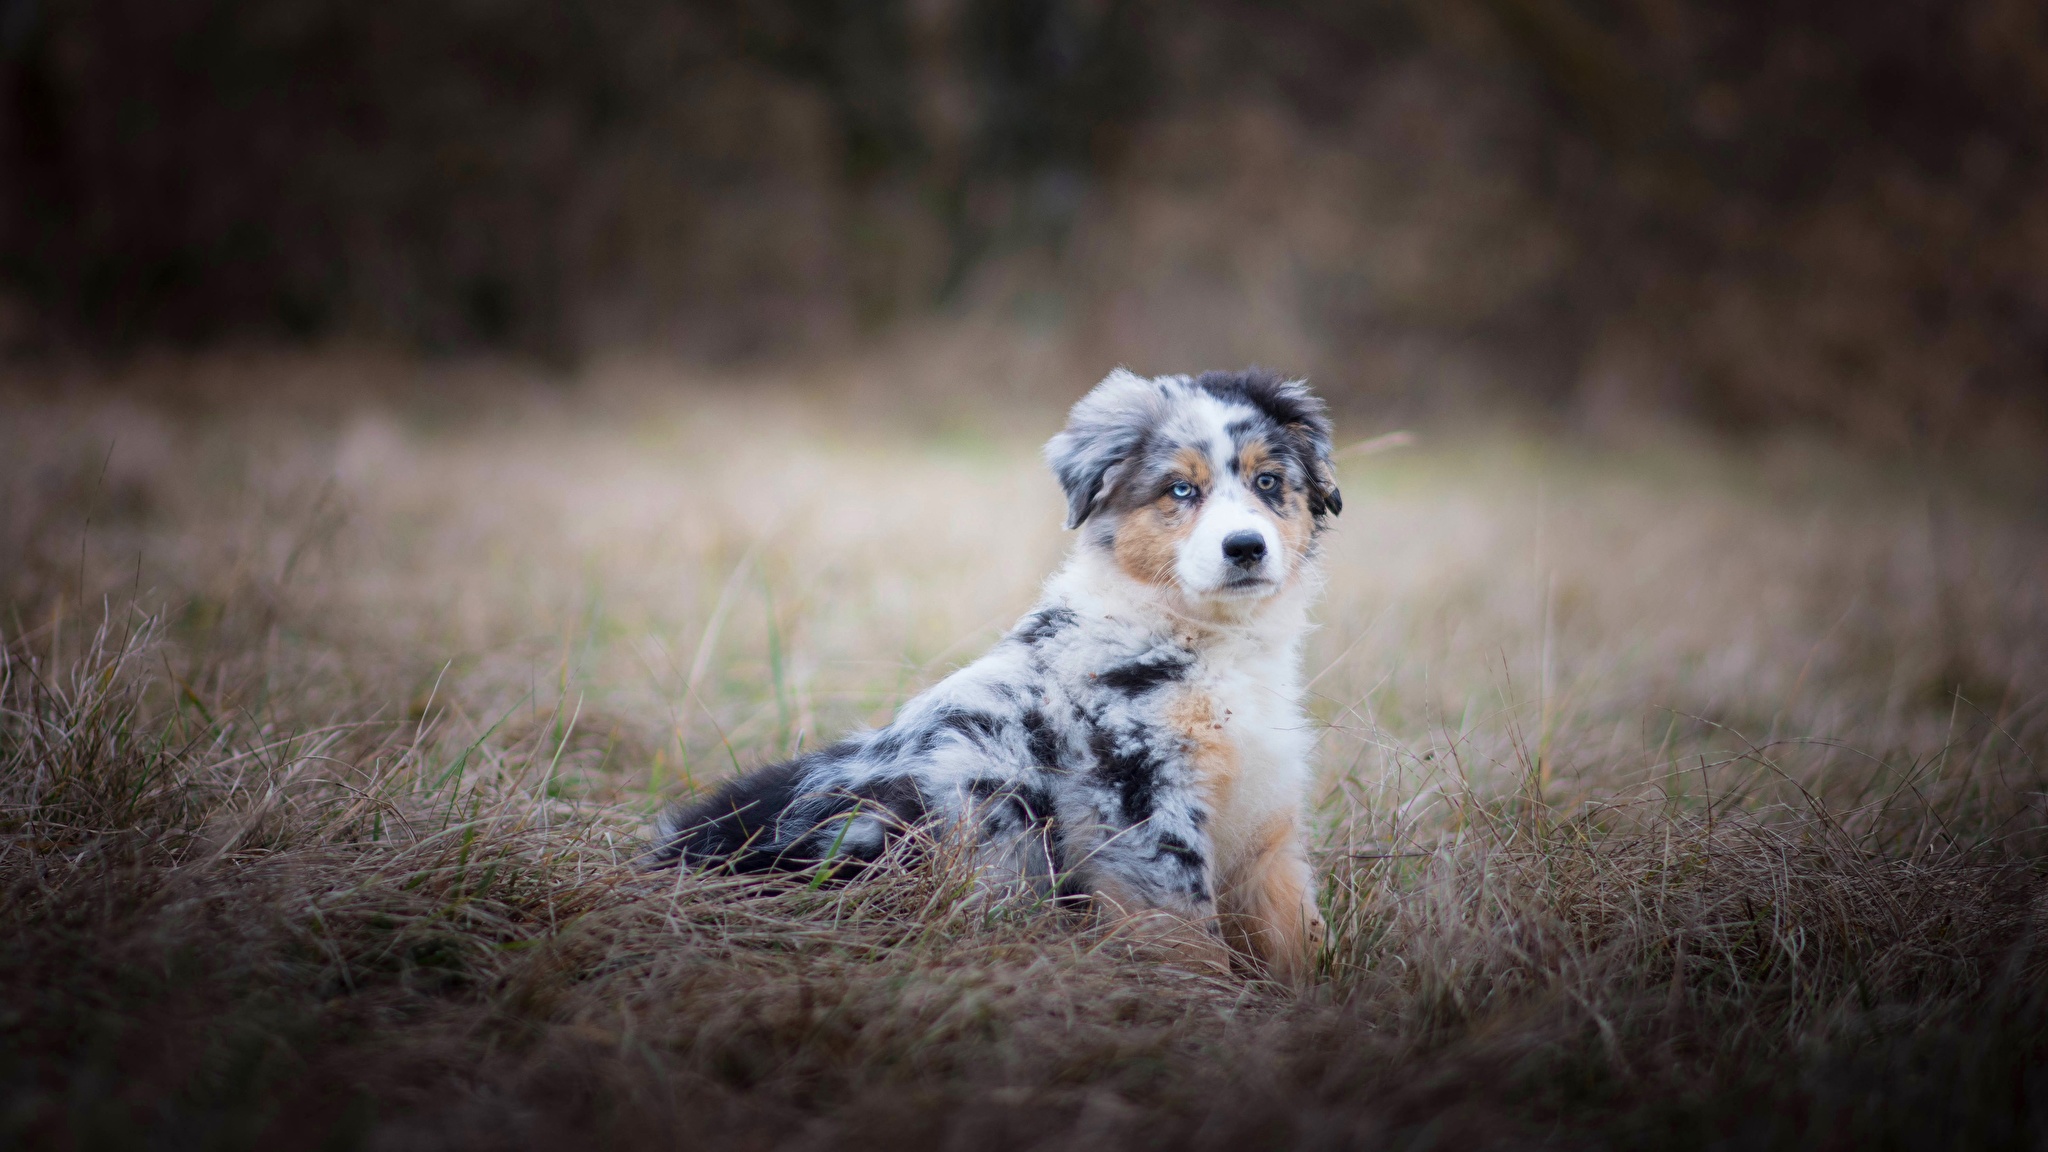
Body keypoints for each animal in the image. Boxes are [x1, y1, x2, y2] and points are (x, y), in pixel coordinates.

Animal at [647, 366, 1335, 975]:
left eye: (1268, 482)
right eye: (1181, 490)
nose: (1245, 547)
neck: (1210, 640)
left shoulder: (1268, 829)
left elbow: (1293, 935)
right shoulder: (1141, 808)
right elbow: (1185, 939)